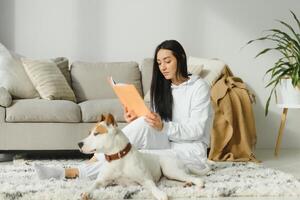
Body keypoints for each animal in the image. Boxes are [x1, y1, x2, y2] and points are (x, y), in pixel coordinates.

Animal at [78, 114, 207, 200]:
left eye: (96, 134)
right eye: (89, 133)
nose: (79, 144)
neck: (118, 158)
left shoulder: (146, 180)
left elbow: (153, 188)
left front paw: (160, 194)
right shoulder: (102, 181)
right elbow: (93, 184)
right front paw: (86, 192)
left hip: (170, 169)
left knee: (193, 178)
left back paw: (198, 184)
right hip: (167, 176)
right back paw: (185, 184)